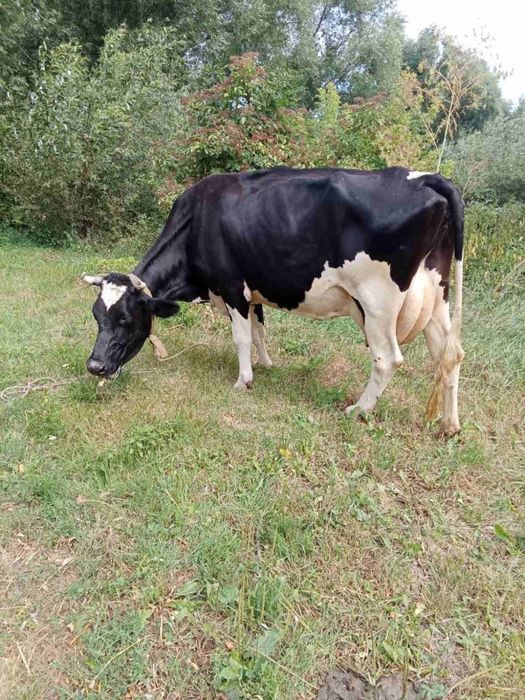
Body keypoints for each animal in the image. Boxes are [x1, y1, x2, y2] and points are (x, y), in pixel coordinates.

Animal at [81, 166, 464, 435]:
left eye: (126, 319)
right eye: (97, 317)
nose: (94, 366)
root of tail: (425, 178)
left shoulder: (232, 287)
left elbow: (241, 337)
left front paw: (244, 379)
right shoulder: (254, 289)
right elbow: (259, 328)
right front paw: (265, 364)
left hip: (377, 302)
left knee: (388, 359)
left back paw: (358, 409)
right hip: (437, 295)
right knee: (449, 355)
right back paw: (449, 425)